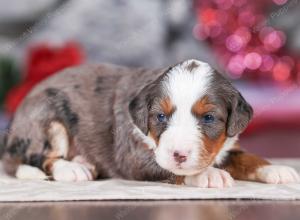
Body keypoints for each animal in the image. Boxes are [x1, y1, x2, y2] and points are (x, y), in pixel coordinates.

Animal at [2, 59, 300, 186]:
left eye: (208, 118)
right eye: (160, 116)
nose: (179, 154)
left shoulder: (225, 146)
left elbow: (246, 157)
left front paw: (275, 169)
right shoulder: (133, 156)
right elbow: (173, 170)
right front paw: (209, 174)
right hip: (46, 116)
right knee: (38, 158)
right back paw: (72, 169)